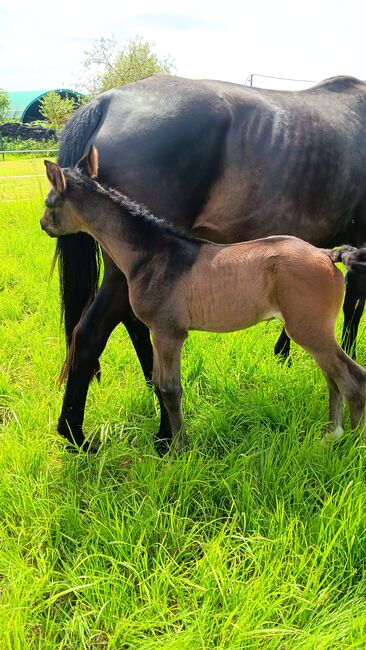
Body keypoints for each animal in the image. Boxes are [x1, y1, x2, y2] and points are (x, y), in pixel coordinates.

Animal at [41, 146, 366, 450]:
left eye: (48, 202)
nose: (43, 224)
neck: (152, 253)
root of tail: (327, 254)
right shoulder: (157, 332)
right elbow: (159, 383)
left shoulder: (169, 332)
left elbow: (171, 389)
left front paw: (179, 449)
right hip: (314, 333)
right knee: (333, 378)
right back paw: (330, 435)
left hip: (309, 330)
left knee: (352, 380)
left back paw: (351, 442)